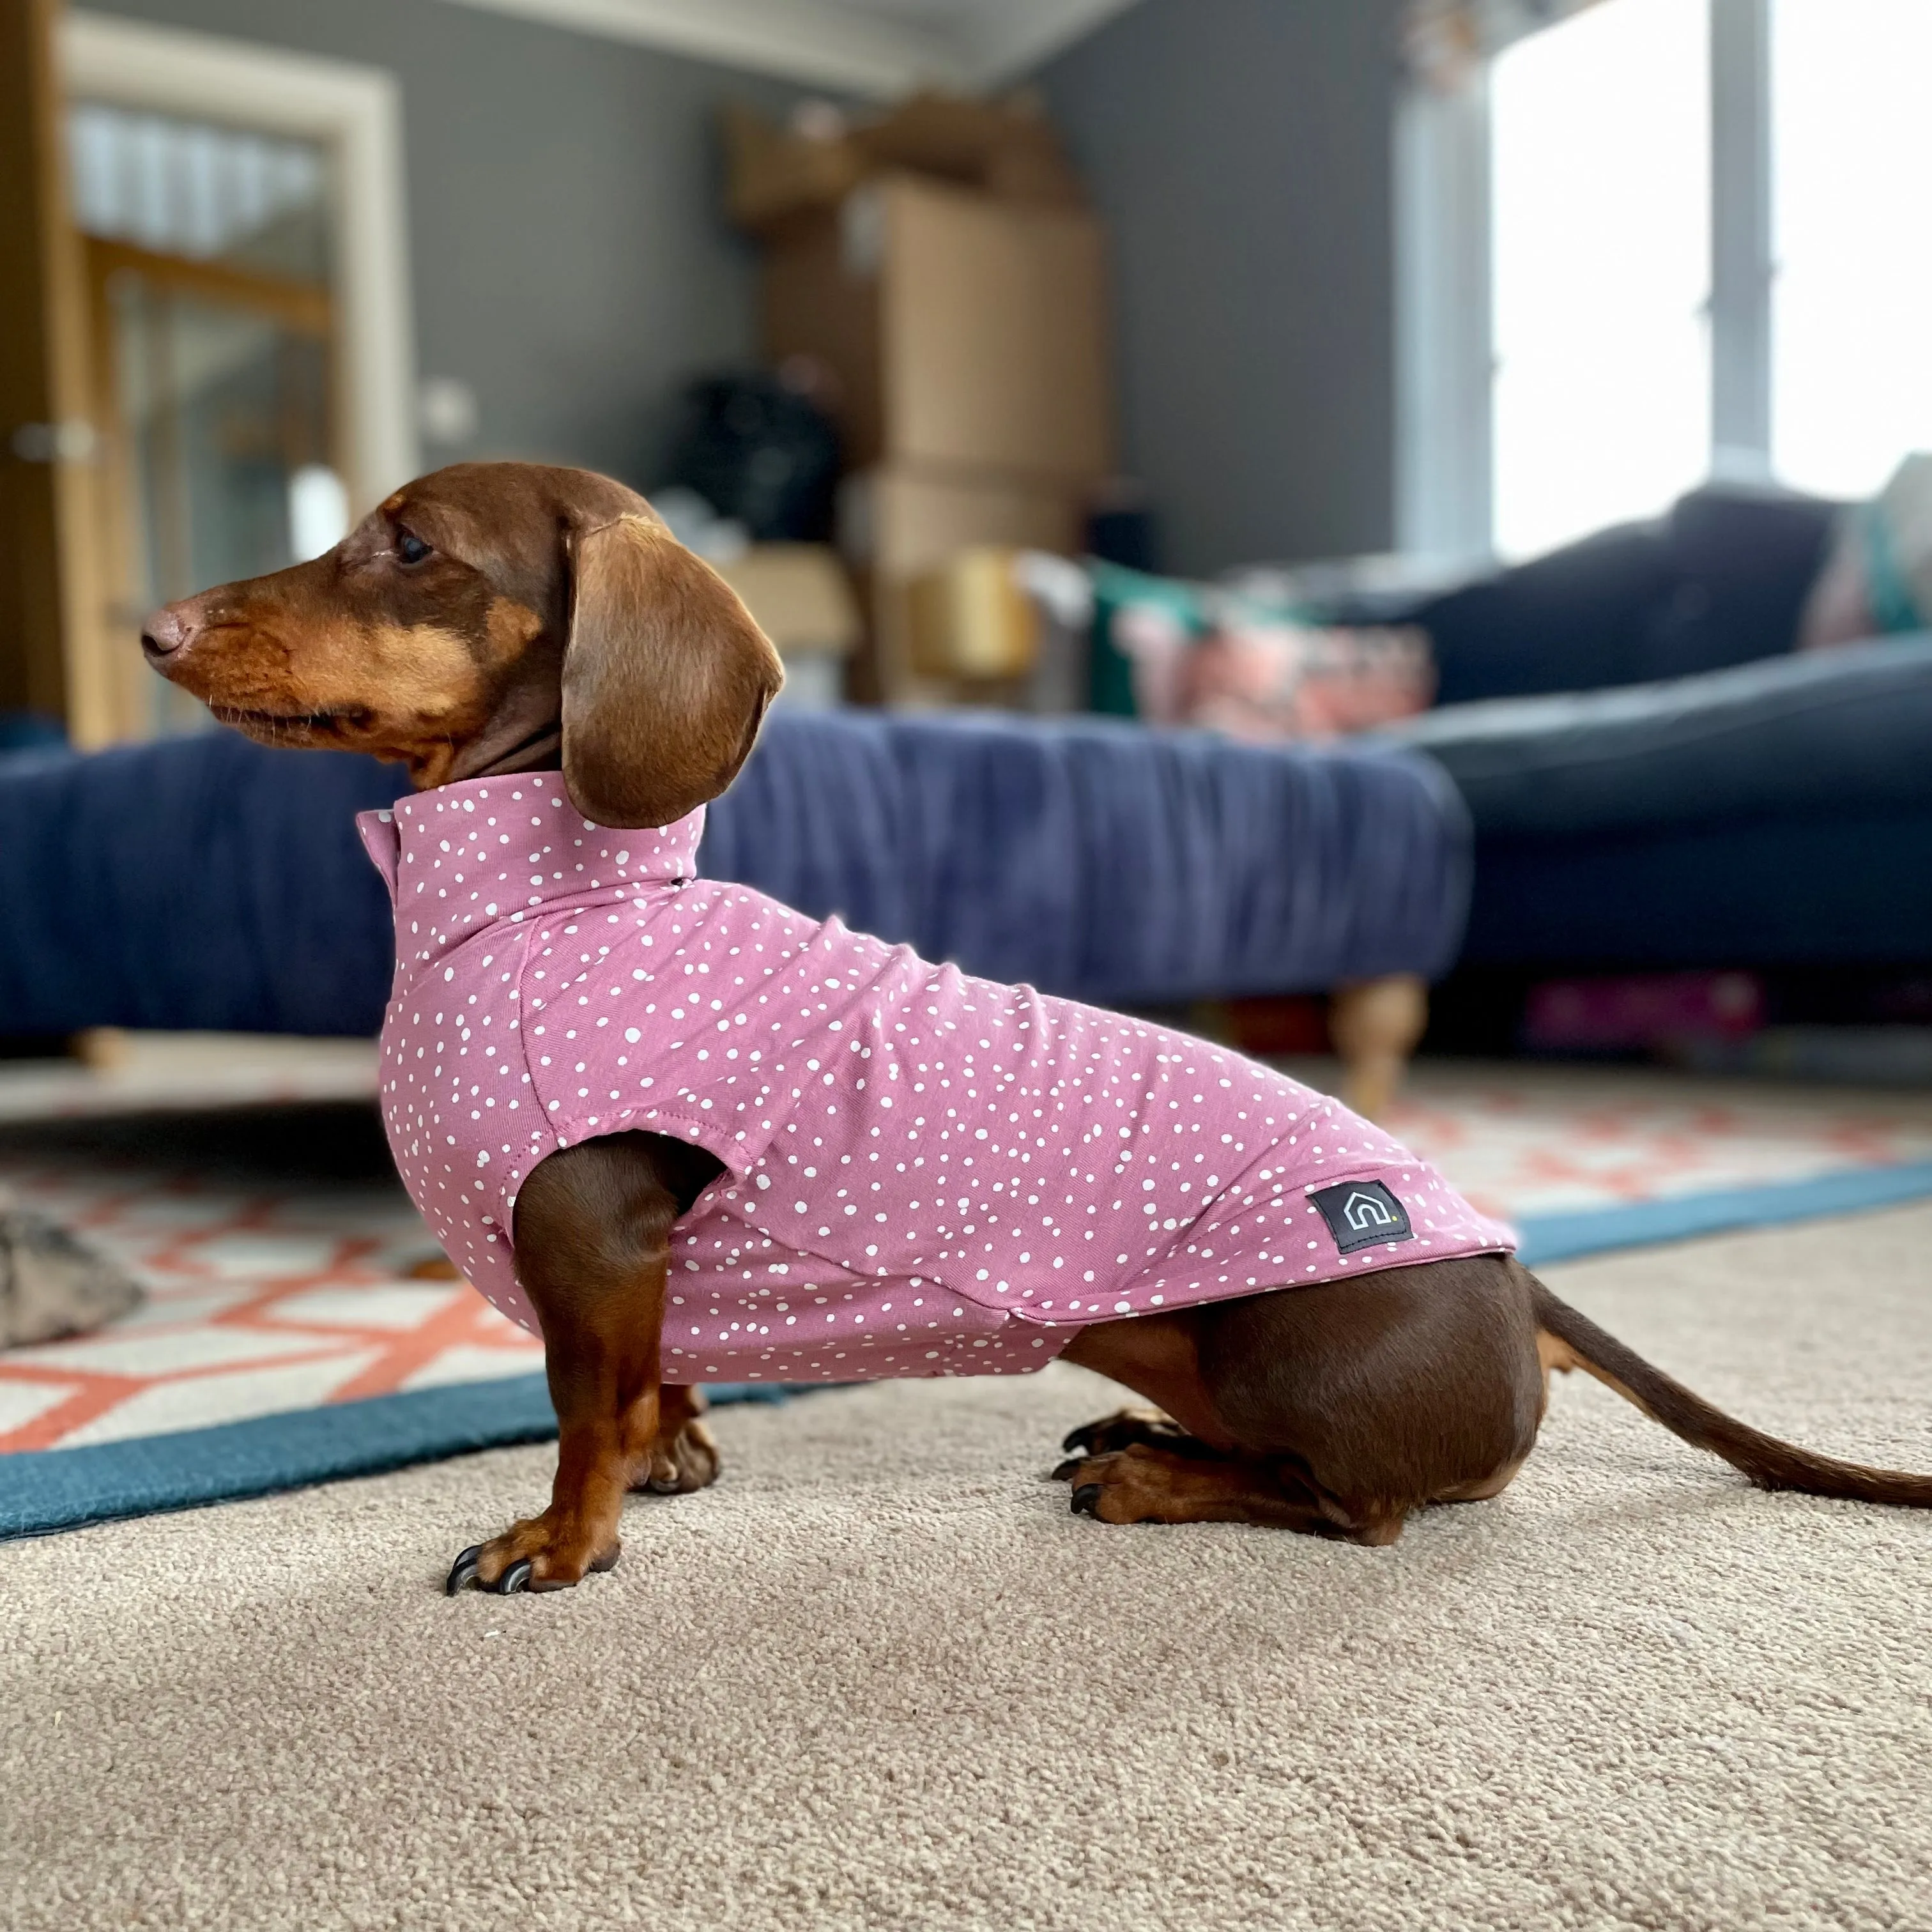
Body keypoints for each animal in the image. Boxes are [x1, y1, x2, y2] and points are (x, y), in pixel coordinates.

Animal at [140, 459, 1932, 1591]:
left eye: (413, 546)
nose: (146, 628)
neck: (556, 902)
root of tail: (1509, 1268)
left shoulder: (592, 1229)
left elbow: (582, 1414)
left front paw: (565, 1543)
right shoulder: (640, 1278)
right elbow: (647, 1395)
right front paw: (672, 1459)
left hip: (1281, 1343)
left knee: (1362, 1512)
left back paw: (1150, 1475)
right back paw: (1141, 1433)